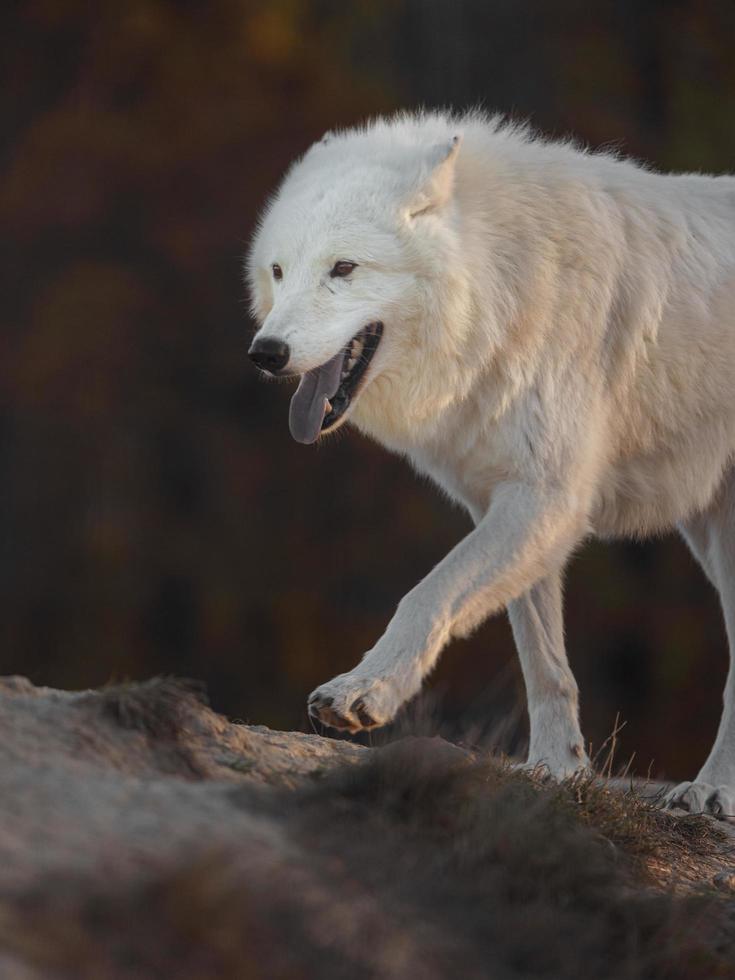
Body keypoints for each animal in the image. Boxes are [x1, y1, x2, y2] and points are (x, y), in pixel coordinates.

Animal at [246, 109, 735, 820]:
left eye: (343, 267)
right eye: (280, 271)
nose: (266, 351)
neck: (506, 283)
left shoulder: (548, 499)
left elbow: (428, 593)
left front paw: (365, 691)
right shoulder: (509, 503)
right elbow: (542, 660)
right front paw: (557, 770)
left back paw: (713, 790)